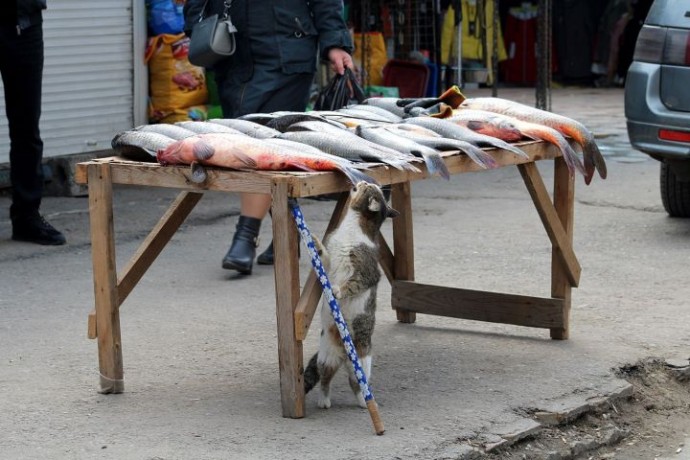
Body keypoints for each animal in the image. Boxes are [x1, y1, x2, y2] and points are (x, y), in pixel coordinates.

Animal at [300, 181, 398, 408]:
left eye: (367, 187)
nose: (362, 181)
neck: (351, 228)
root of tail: (345, 355)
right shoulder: (329, 260)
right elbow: (324, 255)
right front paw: (315, 242)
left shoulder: (365, 272)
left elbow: (352, 284)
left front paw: (337, 290)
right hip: (326, 358)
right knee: (325, 380)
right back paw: (324, 401)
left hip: (362, 362)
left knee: (357, 384)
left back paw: (364, 402)